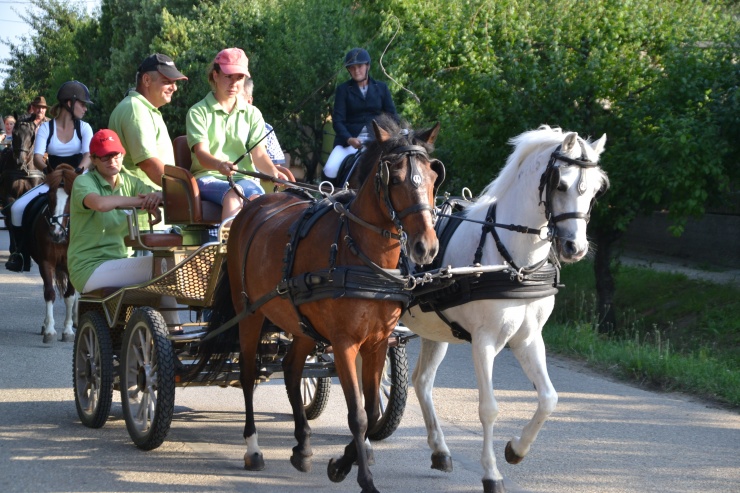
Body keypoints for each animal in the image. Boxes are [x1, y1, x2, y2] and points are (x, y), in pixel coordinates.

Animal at [27, 164, 79, 342]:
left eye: (73, 196)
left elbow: (70, 296)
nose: (56, 233)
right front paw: (49, 329)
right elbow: (49, 293)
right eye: (49, 196)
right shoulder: (46, 262)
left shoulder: (73, 265)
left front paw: (68, 331)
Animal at [194, 116, 442, 492]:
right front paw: (362, 477)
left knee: (292, 369)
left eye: (431, 176)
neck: (359, 253)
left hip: (300, 325)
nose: (425, 247)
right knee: (249, 375)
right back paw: (253, 448)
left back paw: (303, 446)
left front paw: (342, 463)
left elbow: (371, 411)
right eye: (396, 178)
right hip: (249, 312)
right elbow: (357, 414)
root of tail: (252, 206)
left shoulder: (378, 342)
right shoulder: (343, 343)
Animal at [404, 126, 608, 492]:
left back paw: (440, 450)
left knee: (422, 382)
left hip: (433, 330)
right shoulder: (484, 341)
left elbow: (549, 398)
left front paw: (516, 449)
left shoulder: (528, 338)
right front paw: (491, 473)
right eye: (560, 184)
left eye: (597, 190)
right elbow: (489, 408)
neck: (512, 259)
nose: (575, 247)